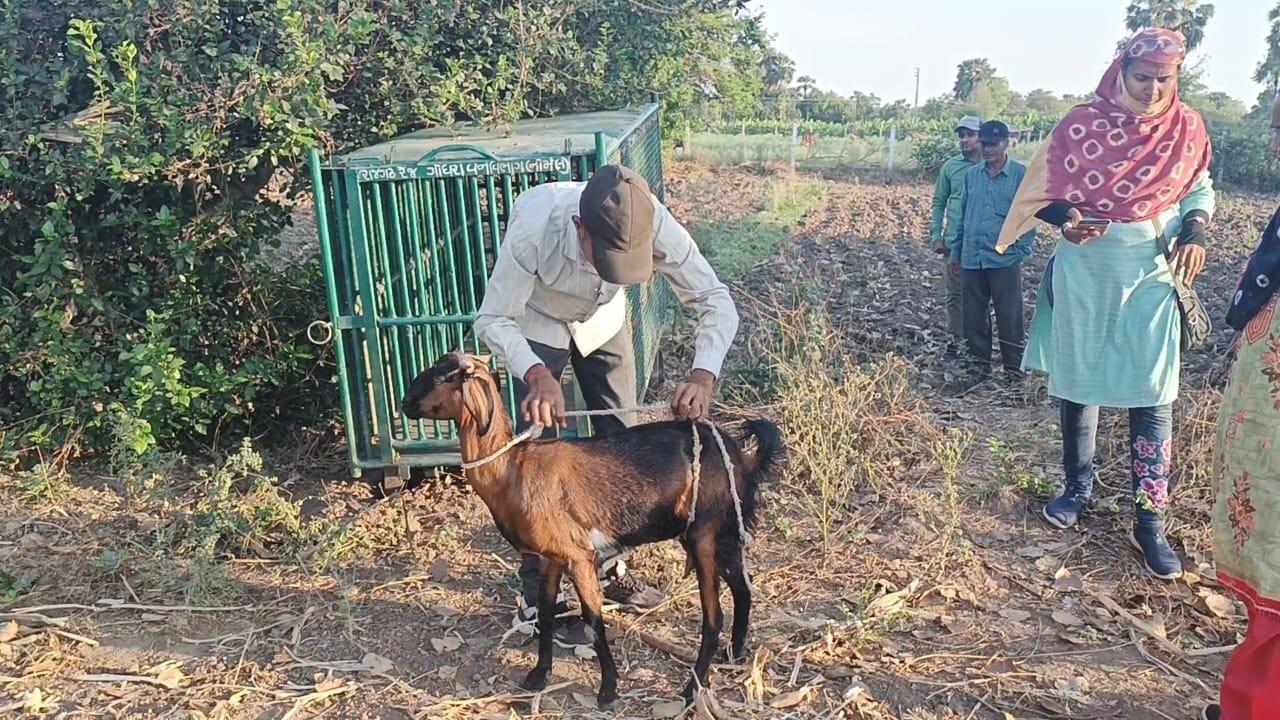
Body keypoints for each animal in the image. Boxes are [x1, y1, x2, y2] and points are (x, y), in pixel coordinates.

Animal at [399, 351, 783, 702]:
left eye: (441, 376)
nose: (404, 404)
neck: (513, 469)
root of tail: (740, 457)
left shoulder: (579, 555)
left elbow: (594, 619)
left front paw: (608, 689)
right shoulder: (551, 557)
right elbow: (547, 615)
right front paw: (538, 676)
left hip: (702, 535)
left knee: (714, 616)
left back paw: (692, 690)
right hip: (725, 534)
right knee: (743, 589)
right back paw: (734, 654)